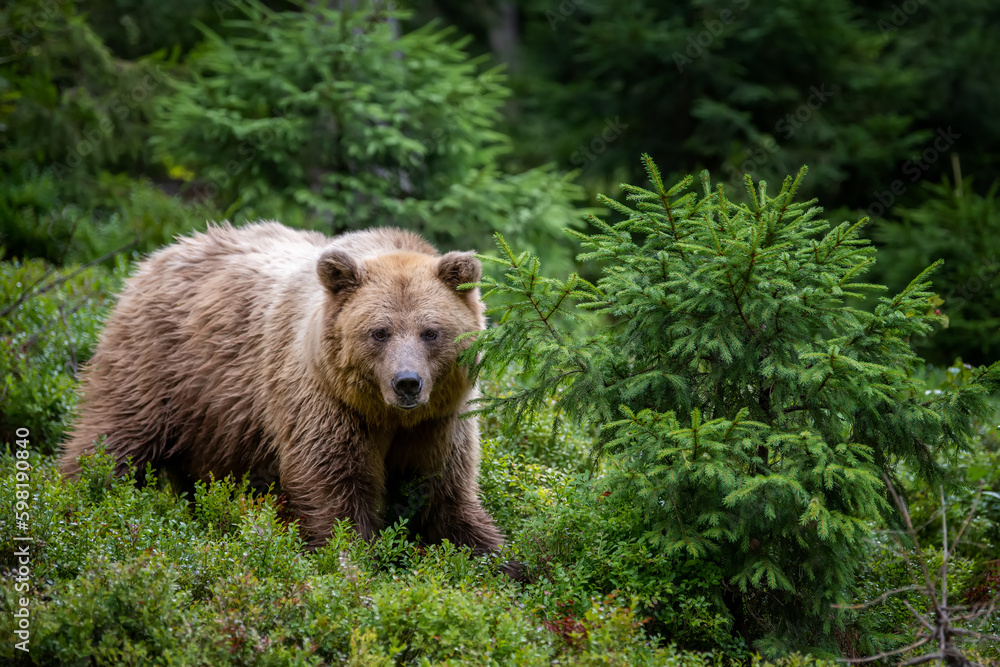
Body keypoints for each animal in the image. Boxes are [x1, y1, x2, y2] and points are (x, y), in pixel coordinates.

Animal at [60, 221, 504, 554]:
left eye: (431, 332)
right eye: (379, 332)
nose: (407, 383)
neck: (384, 414)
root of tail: (158, 255)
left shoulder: (439, 421)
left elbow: (443, 493)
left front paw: (495, 557)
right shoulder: (324, 402)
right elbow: (333, 484)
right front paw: (351, 557)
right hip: (161, 369)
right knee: (112, 438)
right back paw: (76, 498)